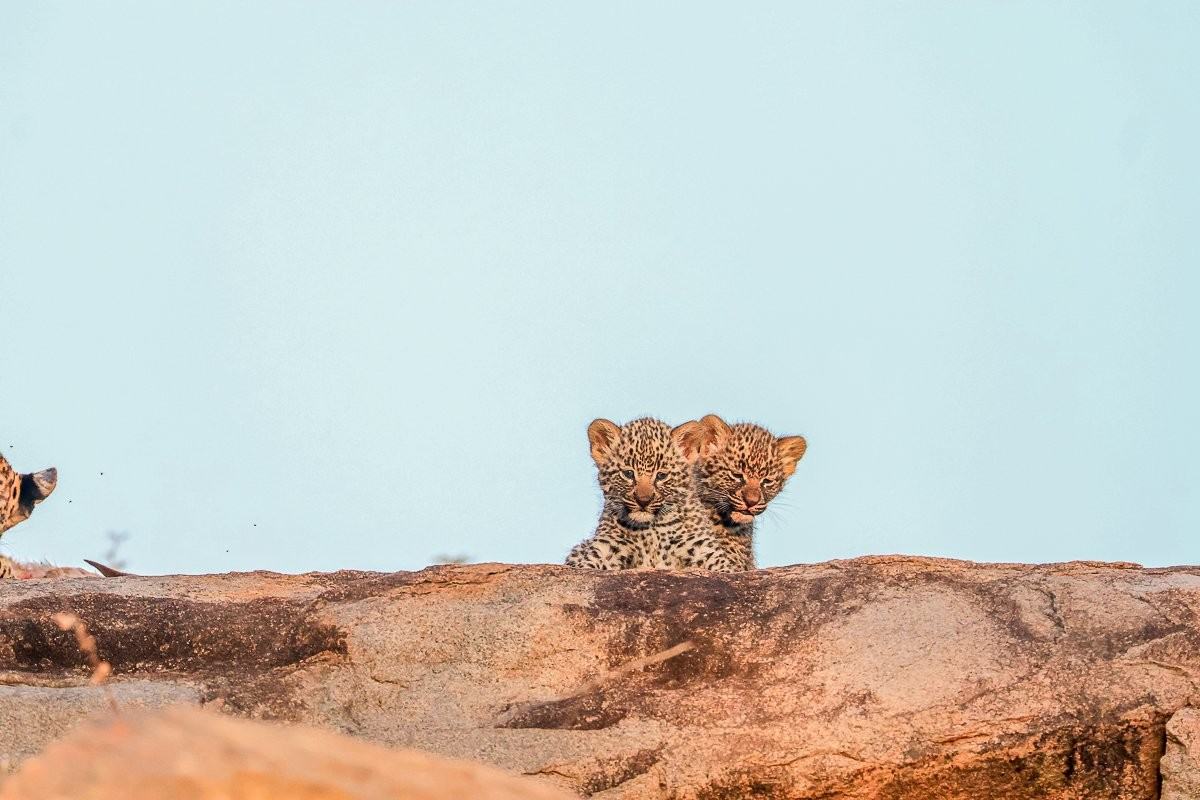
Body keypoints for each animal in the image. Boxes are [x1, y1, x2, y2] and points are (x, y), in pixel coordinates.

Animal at [565, 417, 752, 572]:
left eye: (661, 476)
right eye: (628, 474)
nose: (643, 501)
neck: (651, 532)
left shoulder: (703, 549)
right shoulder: (607, 547)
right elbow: (586, 565)